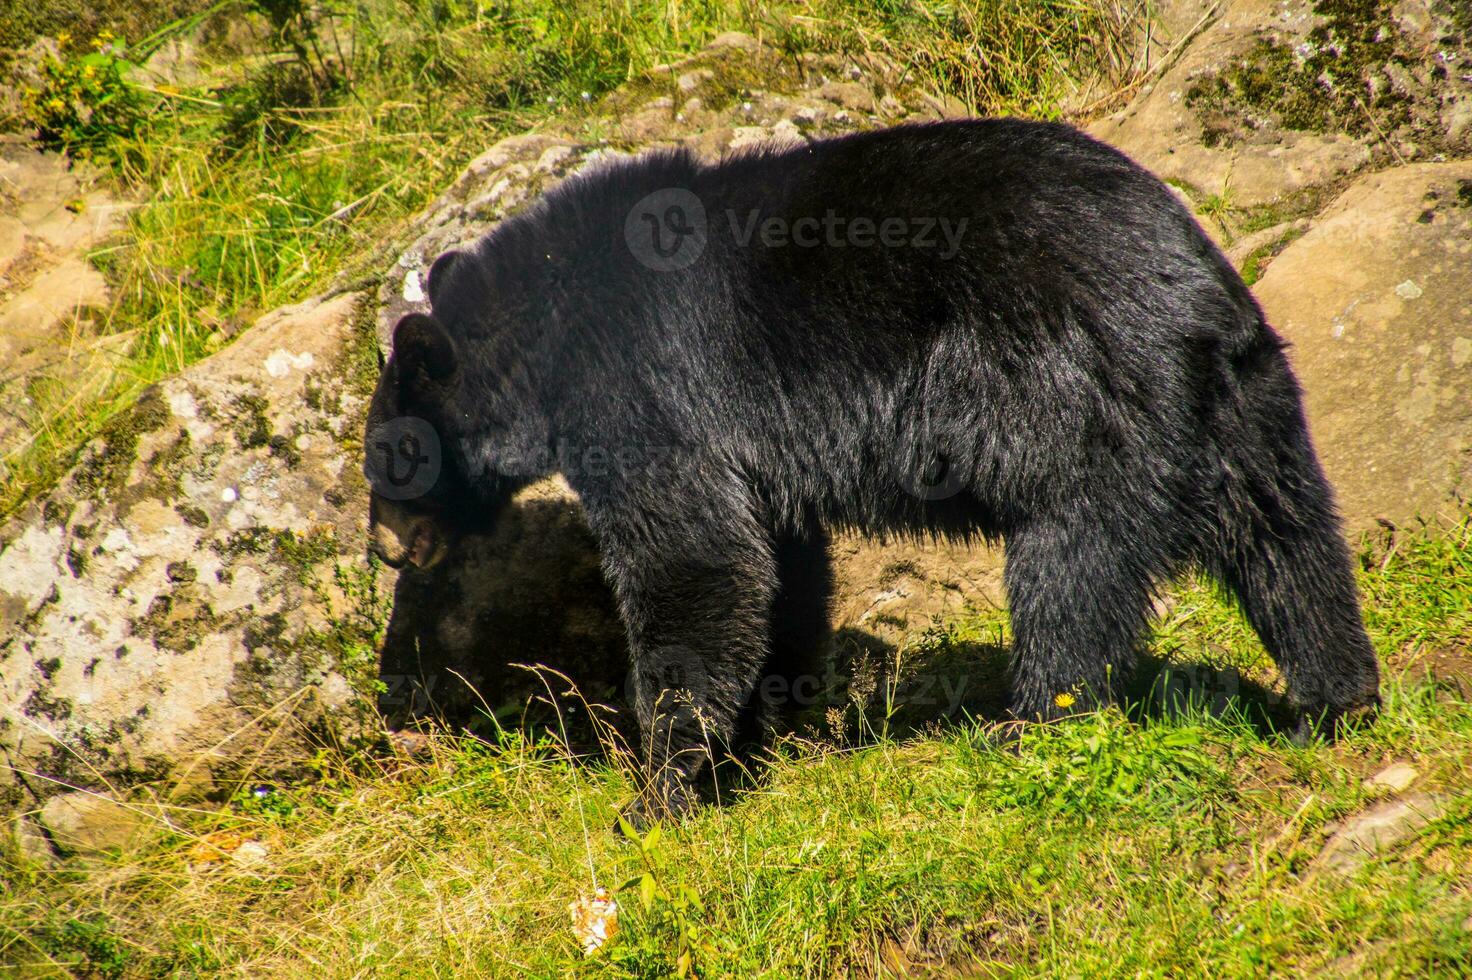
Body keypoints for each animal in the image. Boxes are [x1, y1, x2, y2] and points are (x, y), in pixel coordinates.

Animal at [365, 118, 1377, 818]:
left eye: (389, 461)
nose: (384, 548)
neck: (549, 334)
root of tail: (1194, 292)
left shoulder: (645, 390)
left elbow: (691, 560)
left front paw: (661, 791)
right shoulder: (751, 455)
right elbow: (776, 566)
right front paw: (762, 735)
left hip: (1080, 402)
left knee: (1072, 574)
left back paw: (1029, 730)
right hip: (1249, 407)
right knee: (1291, 546)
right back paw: (1336, 701)